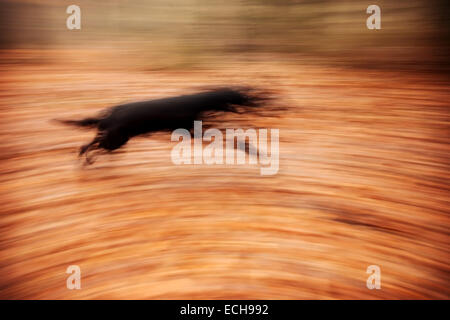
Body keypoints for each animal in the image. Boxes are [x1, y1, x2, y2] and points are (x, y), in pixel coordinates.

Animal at [59, 87, 264, 162]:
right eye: (242, 95)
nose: (260, 97)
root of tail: (108, 113)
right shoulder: (195, 131)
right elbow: (230, 139)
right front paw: (252, 150)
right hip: (114, 140)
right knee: (90, 145)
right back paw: (86, 158)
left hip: (116, 140)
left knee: (92, 144)